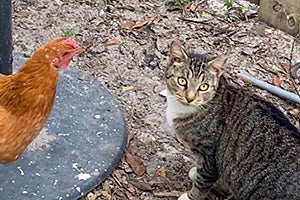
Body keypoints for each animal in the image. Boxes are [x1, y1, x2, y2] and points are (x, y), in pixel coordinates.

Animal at [165, 40, 300, 198]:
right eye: (181, 81)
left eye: (204, 87)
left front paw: (189, 196)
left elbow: (203, 181)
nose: (190, 98)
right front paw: (195, 173)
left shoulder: (209, 156)